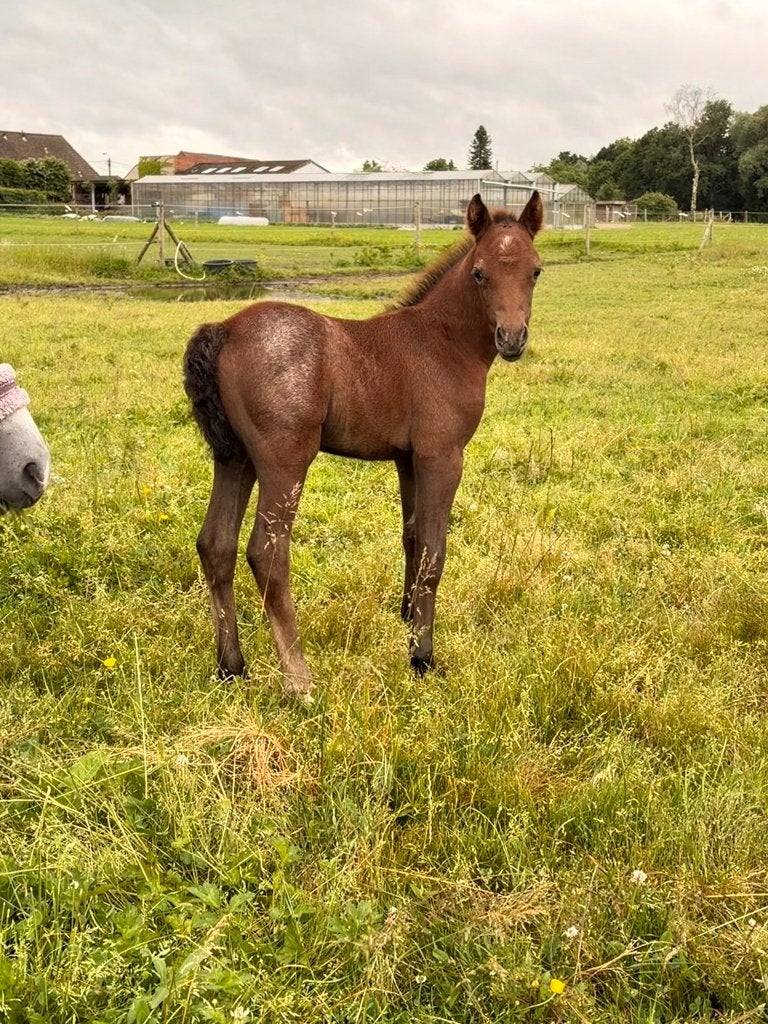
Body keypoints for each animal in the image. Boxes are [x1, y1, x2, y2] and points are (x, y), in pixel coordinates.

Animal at [184, 191, 544, 699]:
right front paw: (422, 657)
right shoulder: (442, 456)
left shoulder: (408, 459)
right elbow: (434, 551)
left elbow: (412, 538)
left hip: (235, 457)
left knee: (216, 545)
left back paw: (232, 666)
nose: (511, 339)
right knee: (267, 553)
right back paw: (300, 680)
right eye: (479, 273)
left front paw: (408, 618)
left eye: (535, 271)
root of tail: (226, 328)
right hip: (285, 459)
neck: (443, 342)